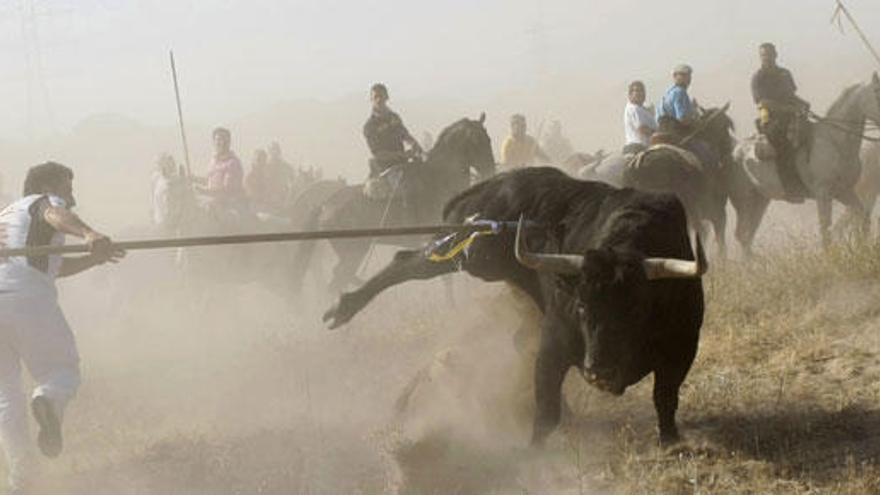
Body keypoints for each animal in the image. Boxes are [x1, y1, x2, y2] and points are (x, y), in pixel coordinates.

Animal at [288, 115, 496, 294]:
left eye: (488, 139)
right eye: (478, 141)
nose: (491, 170)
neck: (439, 178)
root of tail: (324, 205)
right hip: (353, 253)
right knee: (336, 281)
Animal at [324, 169, 708, 448]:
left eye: (638, 309)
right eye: (582, 307)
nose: (599, 371)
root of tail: (493, 184)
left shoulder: (683, 347)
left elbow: (665, 397)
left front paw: (671, 440)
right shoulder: (554, 343)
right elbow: (545, 410)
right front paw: (535, 454)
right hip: (477, 254)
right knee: (408, 262)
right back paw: (343, 308)